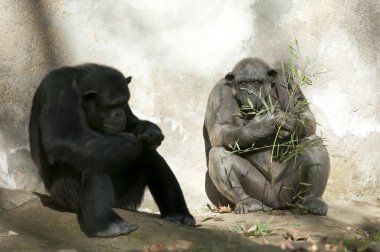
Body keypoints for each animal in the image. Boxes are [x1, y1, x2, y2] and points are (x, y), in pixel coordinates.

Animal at [29, 63, 194, 236]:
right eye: (112, 105)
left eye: (123, 103)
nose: (119, 113)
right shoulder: (58, 88)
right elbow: (62, 137)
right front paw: (135, 143)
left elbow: (131, 121)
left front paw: (150, 130)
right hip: (68, 197)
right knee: (94, 161)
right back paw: (107, 224)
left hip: (126, 198)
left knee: (151, 157)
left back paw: (178, 214)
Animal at [203, 58, 332, 216]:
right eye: (243, 83)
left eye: (256, 82)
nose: (250, 92)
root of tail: (277, 204)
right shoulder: (220, 91)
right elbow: (219, 127)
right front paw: (261, 126)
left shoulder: (288, 82)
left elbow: (305, 115)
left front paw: (287, 120)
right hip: (261, 191)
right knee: (219, 153)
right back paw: (247, 201)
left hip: (288, 190)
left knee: (313, 142)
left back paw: (312, 201)